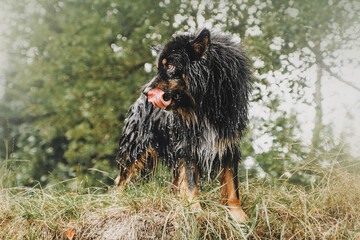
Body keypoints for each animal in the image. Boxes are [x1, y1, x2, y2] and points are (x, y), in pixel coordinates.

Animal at [114, 29, 250, 222]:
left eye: (170, 66)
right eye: (159, 67)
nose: (146, 92)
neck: (205, 106)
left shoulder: (227, 144)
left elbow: (232, 186)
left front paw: (238, 215)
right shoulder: (187, 145)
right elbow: (191, 182)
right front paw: (195, 210)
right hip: (134, 147)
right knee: (121, 180)